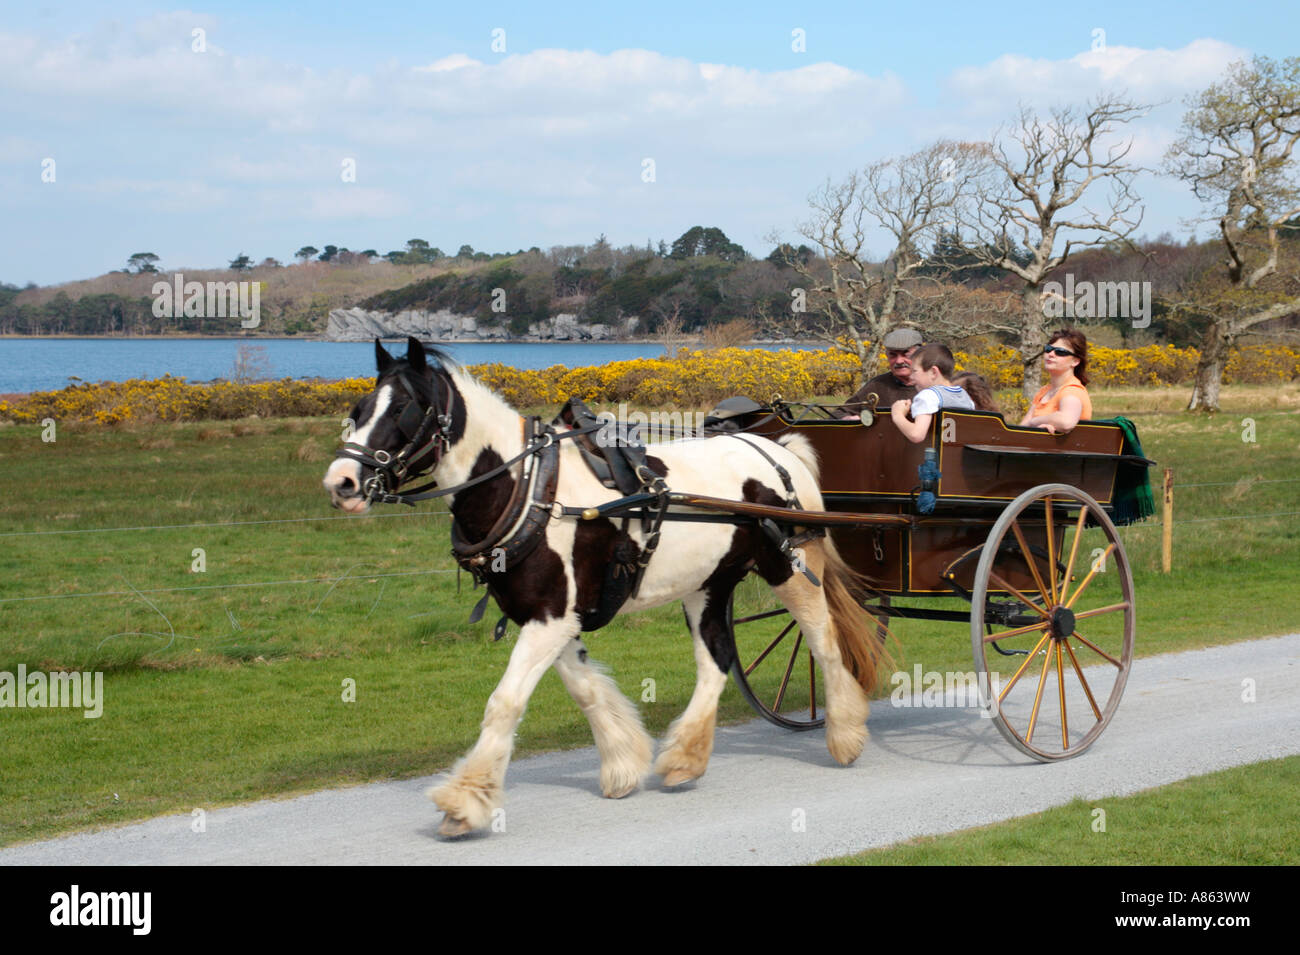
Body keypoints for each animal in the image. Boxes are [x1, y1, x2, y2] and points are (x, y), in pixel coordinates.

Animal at [325, 335, 889, 836]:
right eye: (358, 409)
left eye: (405, 411)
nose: (340, 483)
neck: (531, 490)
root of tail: (777, 449)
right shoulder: (553, 617)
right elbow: (585, 689)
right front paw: (623, 760)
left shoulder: (550, 618)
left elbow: (505, 702)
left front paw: (466, 800)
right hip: (707, 584)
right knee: (716, 660)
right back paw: (685, 757)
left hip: (790, 568)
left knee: (824, 640)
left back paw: (844, 733)